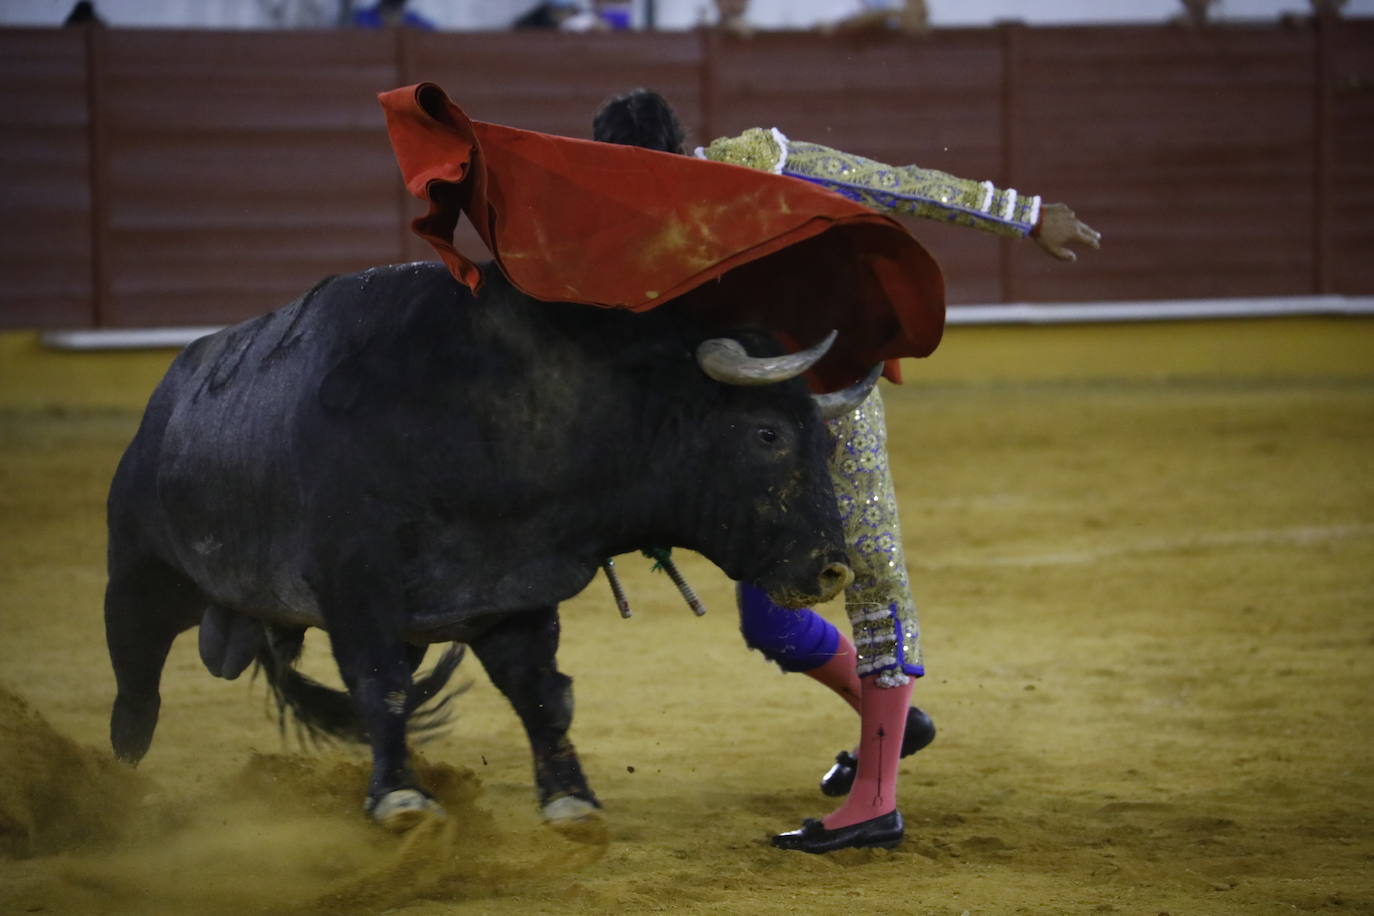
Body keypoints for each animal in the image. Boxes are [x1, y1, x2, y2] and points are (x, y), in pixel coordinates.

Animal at [107, 260, 868, 829]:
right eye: (768, 434)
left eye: (829, 441)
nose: (833, 569)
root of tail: (162, 406)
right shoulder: (356, 585)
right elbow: (380, 686)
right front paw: (401, 798)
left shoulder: (511, 591)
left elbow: (542, 695)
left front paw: (571, 799)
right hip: (141, 577)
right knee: (136, 697)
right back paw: (114, 797)